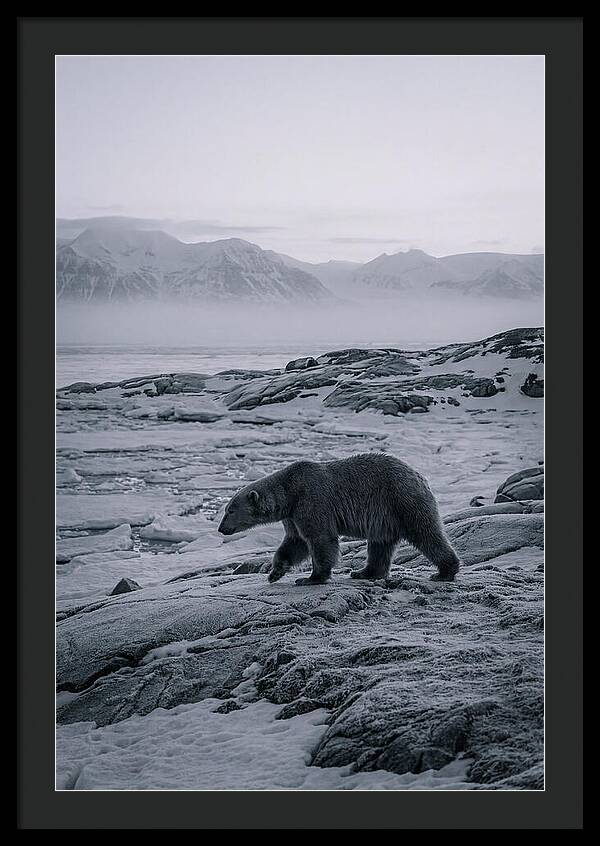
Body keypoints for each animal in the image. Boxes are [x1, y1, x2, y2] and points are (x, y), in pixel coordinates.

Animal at [217, 453, 460, 586]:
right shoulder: (293, 515)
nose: (221, 529)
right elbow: (295, 542)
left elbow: (320, 538)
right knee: (380, 545)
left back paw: (445, 571)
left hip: (401, 499)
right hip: (385, 516)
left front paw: (311, 578)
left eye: (230, 510)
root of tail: (419, 476)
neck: (289, 491)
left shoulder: (311, 500)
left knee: (425, 533)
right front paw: (275, 572)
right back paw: (364, 572)